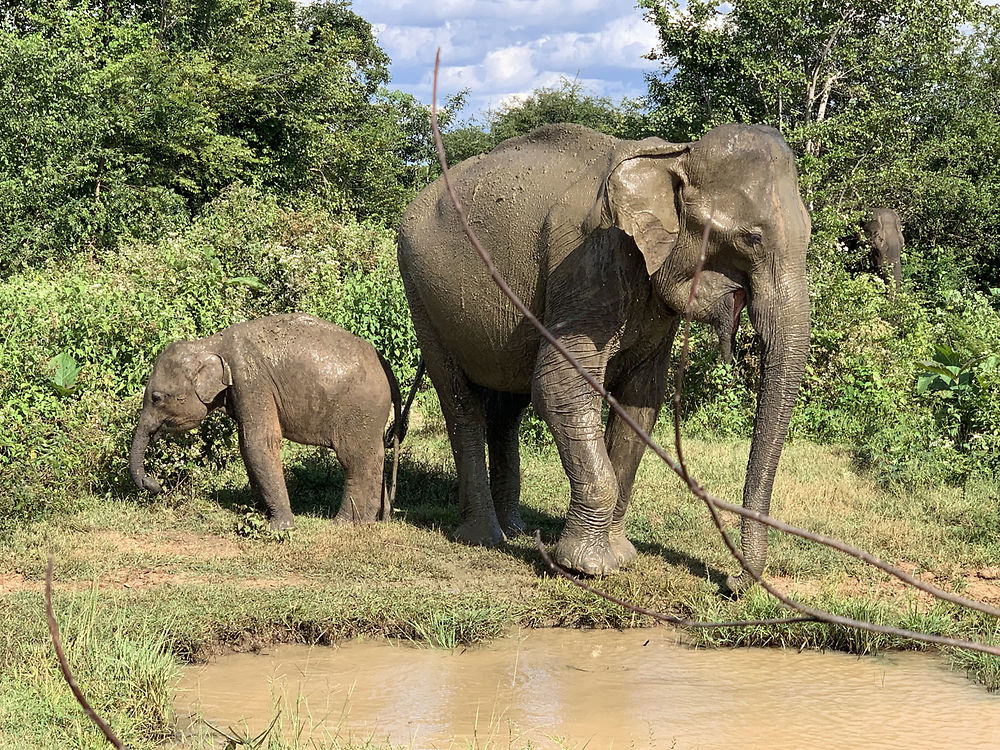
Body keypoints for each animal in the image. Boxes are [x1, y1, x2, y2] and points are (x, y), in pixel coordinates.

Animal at [129, 314, 402, 532]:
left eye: (157, 398)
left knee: (355, 459)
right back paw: (375, 520)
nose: (154, 485)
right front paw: (258, 512)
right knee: (374, 455)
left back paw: (346, 524)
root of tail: (389, 370)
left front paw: (279, 527)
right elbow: (245, 446)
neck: (209, 343)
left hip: (360, 410)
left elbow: (259, 444)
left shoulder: (250, 381)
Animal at [398, 125, 812, 592]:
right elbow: (560, 386)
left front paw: (621, 557)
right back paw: (483, 537)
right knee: (461, 403)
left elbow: (641, 402)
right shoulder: (591, 259)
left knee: (507, 408)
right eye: (750, 238)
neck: (674, 156)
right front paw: (586, 568)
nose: (730, 584)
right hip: (422, 294)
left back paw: (516, 530)